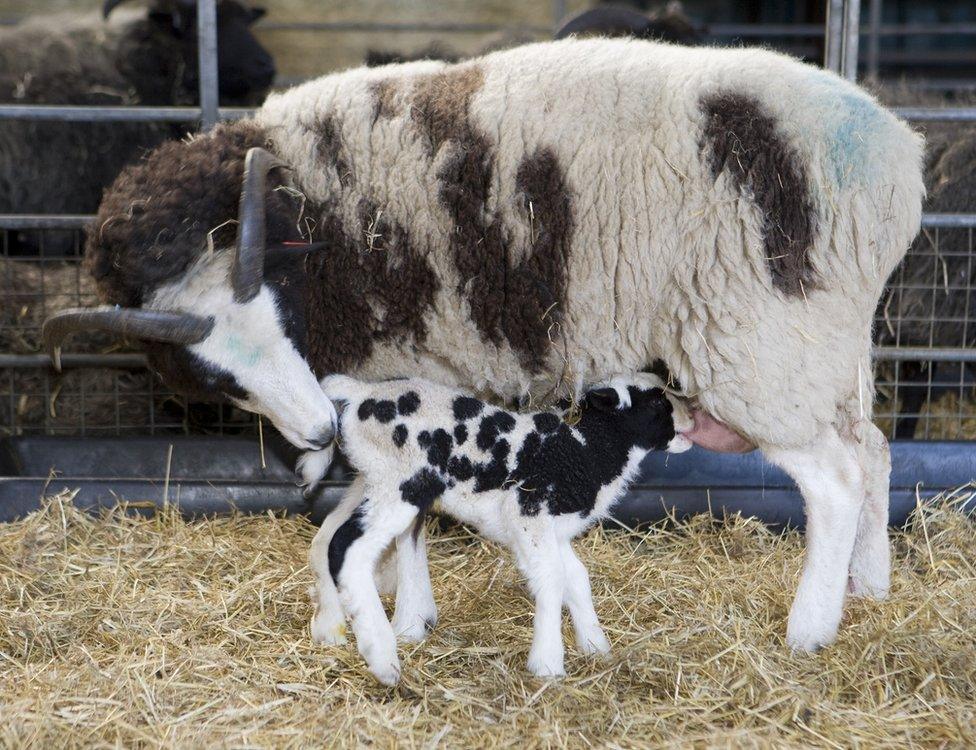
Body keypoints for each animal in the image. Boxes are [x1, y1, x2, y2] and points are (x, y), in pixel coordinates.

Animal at [40, 39, 924, 652]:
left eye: (277, 313)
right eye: (215, 375)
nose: (318, 429)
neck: (310, 217)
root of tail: (897, 159)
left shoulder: (413, 372)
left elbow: (406, 520)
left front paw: (404, 616)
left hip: (761, 349)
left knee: (835, 481)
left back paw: (810, 627)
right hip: (827, 346)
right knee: (875, 452)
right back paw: (871, 590)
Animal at [310, 374, 692, 684]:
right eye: (657, 402)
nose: (691, 416)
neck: (586, 449)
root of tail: (362, 393)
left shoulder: (553, 529)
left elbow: (576, 578)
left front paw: (596, 647)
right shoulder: (526, 511)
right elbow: (551, 578)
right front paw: (548, 664)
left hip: (374, 479)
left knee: (327, 538)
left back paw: (336, 627)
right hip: (400, 483)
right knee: (346, 548)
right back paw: (382, 656)